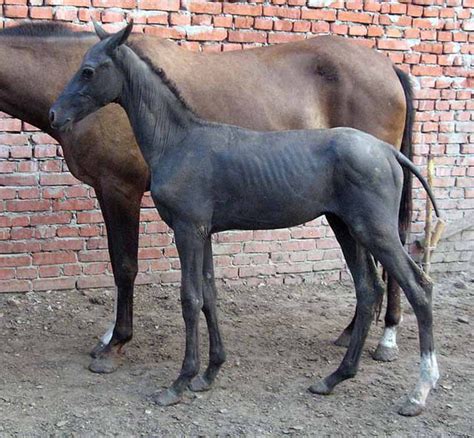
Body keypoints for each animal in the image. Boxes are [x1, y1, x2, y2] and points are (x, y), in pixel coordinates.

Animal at [0, 22, 412, 372]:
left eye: (88, 72)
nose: (57, 113)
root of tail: (389, 66)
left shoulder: (120, 190)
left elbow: (125, 267)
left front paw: (116, 343)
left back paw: (387, 339)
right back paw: (353, 332)